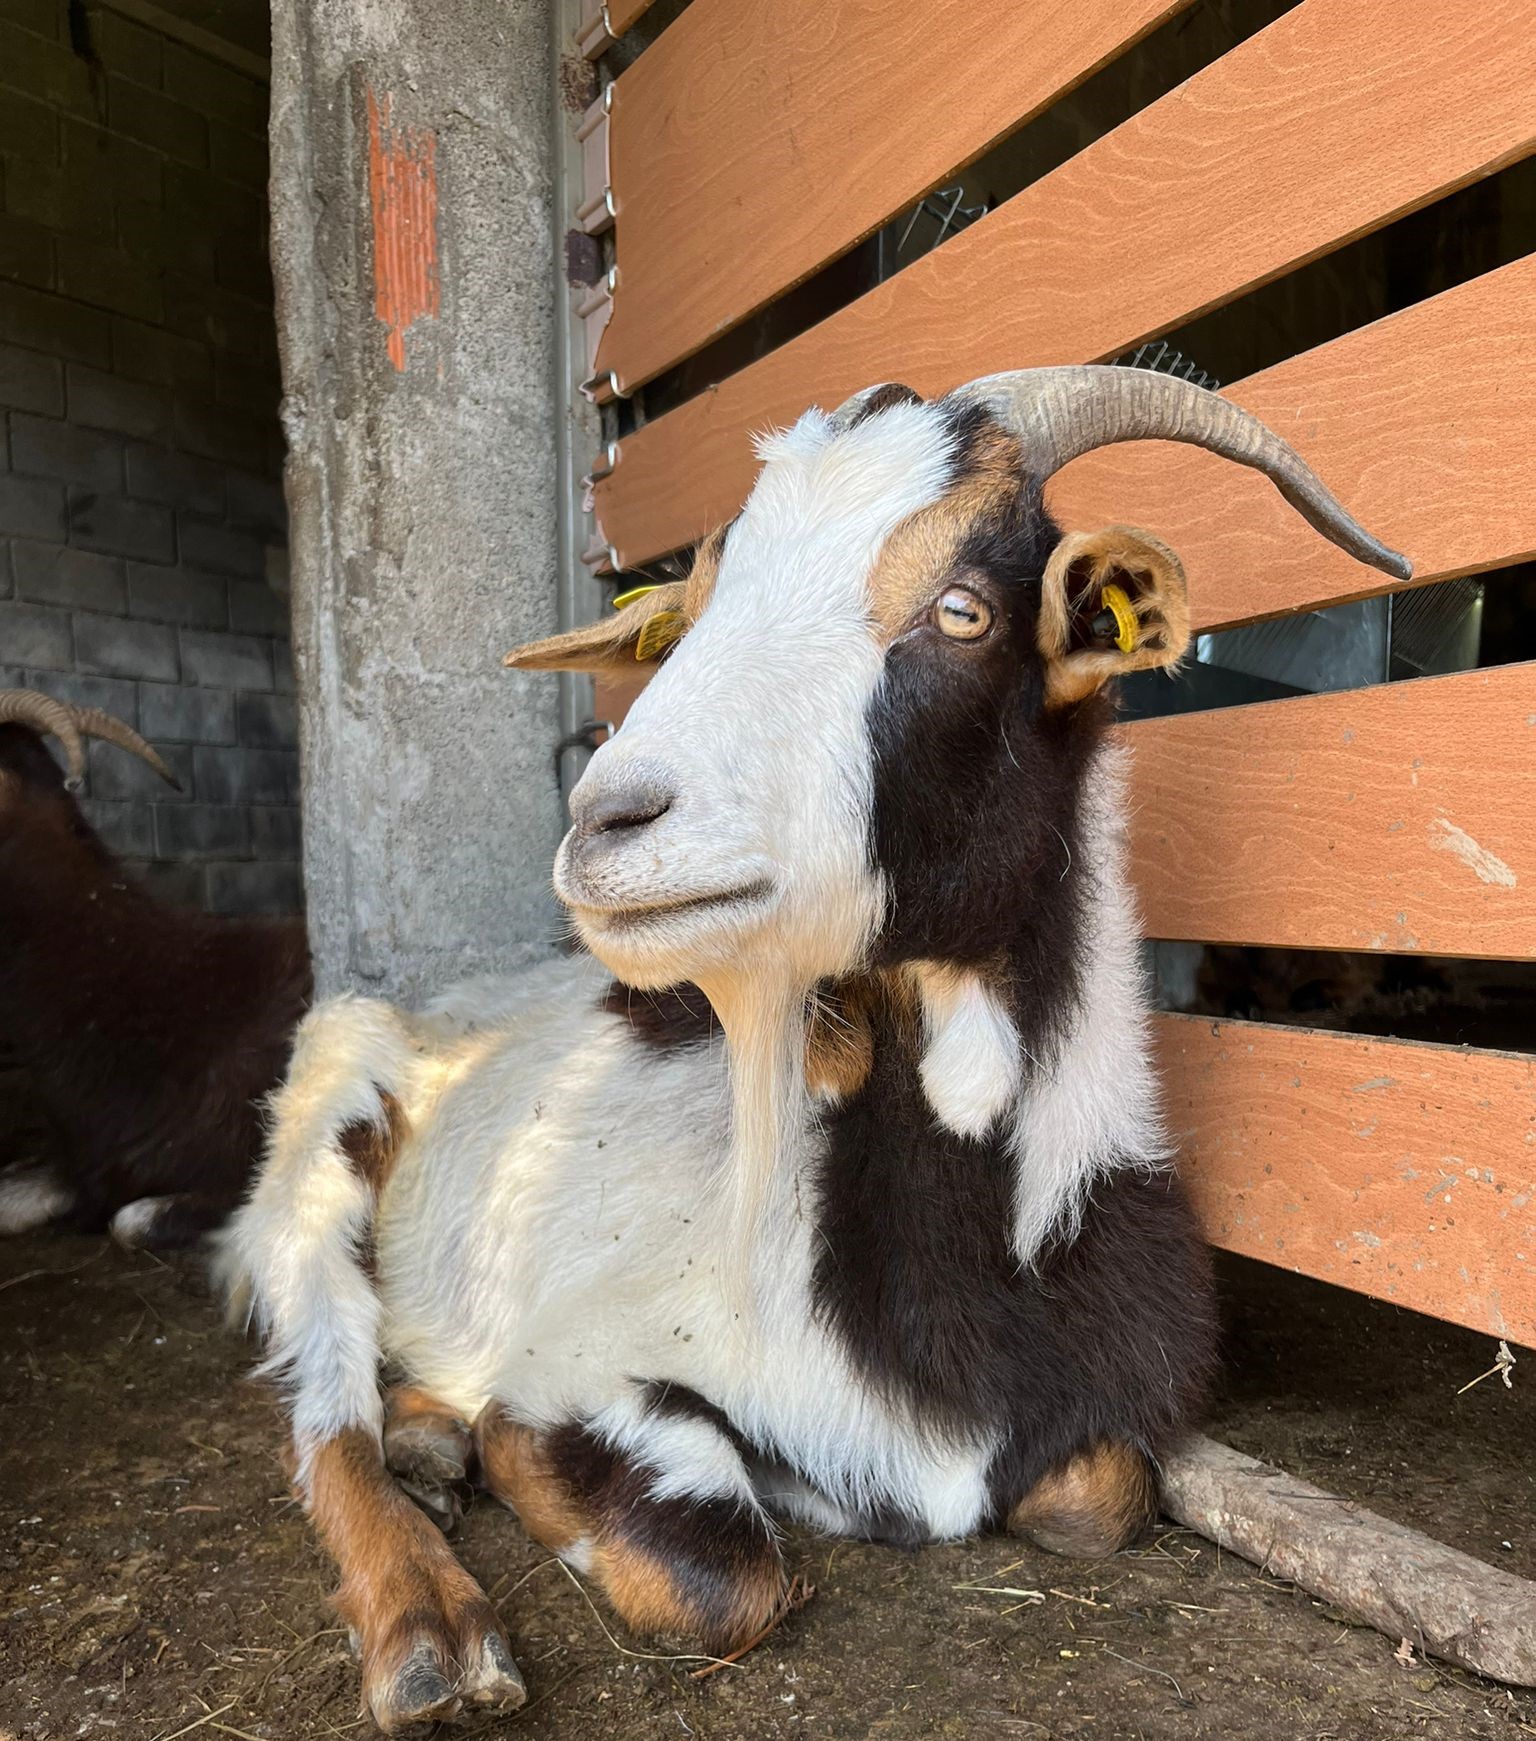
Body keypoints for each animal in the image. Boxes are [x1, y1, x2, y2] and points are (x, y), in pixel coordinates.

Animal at [221, 367, 1410, 1730]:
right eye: (691, 610)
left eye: (963, 608)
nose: (609, 819)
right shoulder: (580, 1356)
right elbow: (722, 1575)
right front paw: (497, 1460)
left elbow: (1103, 1494)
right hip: (325, 1140)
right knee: (323, 1399)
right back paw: (432, 1629)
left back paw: (425, 1439)